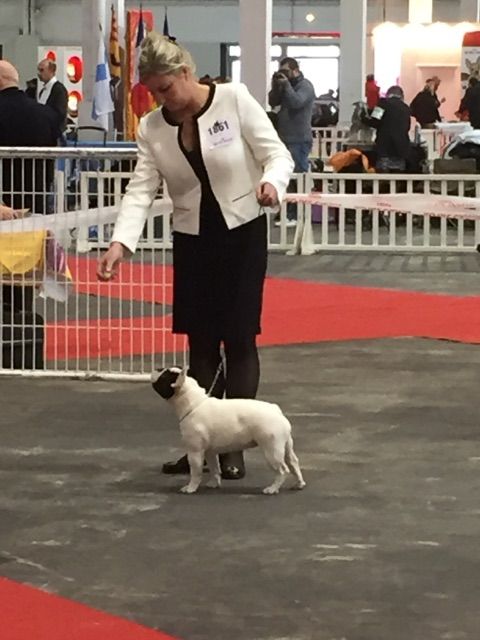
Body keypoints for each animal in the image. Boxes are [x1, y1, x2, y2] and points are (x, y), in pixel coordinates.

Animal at [152, 364, 306, 496]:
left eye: (163, 376)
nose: (157, 368)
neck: (193, 404)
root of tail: (276, 411)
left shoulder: (195, 451)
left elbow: (195, 472)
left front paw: (190, 488)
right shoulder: (209, 451)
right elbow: (214, 468)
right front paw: (214, 483)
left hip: (271, 450)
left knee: (283, 470)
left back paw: (272, 489)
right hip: (285, 445)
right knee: (293, 462)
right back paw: (299, 483)